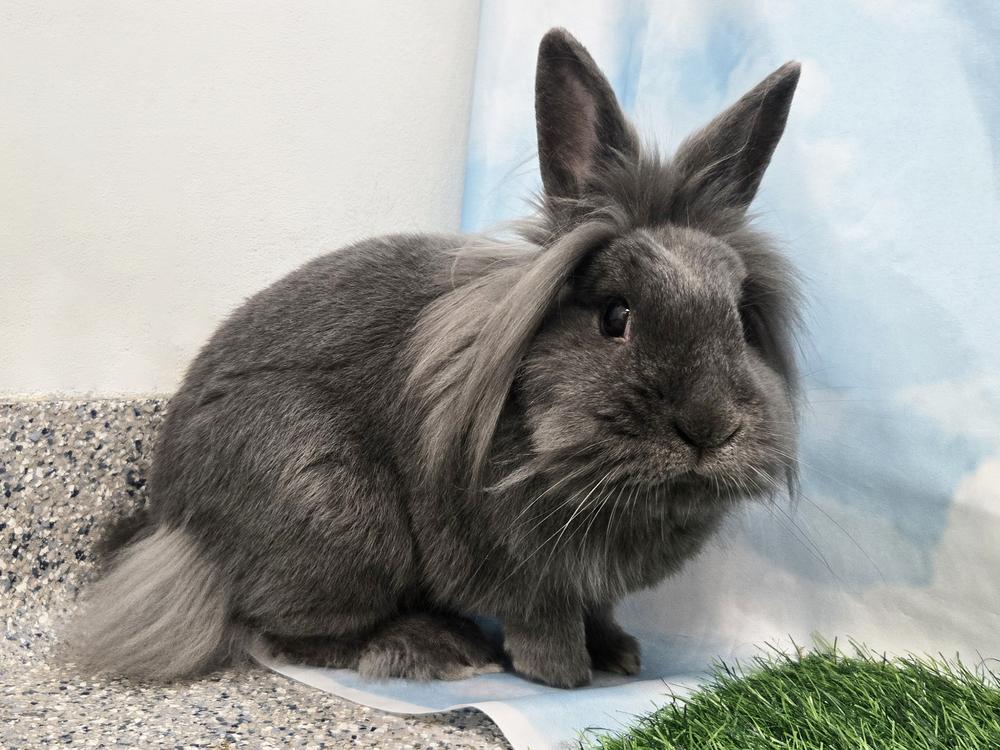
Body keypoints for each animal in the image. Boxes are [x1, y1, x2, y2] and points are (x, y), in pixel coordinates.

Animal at [63, 28, 802, 689]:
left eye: (740, 319)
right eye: (615, 317)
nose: (709, 427)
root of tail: (175, 527)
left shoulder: (591, 582)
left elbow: (598, 609)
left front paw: (620, 654)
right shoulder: (524, 569)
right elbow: (546, 625)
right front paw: (566, 677)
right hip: (337, 520)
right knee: (286, 632)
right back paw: (433, 647)